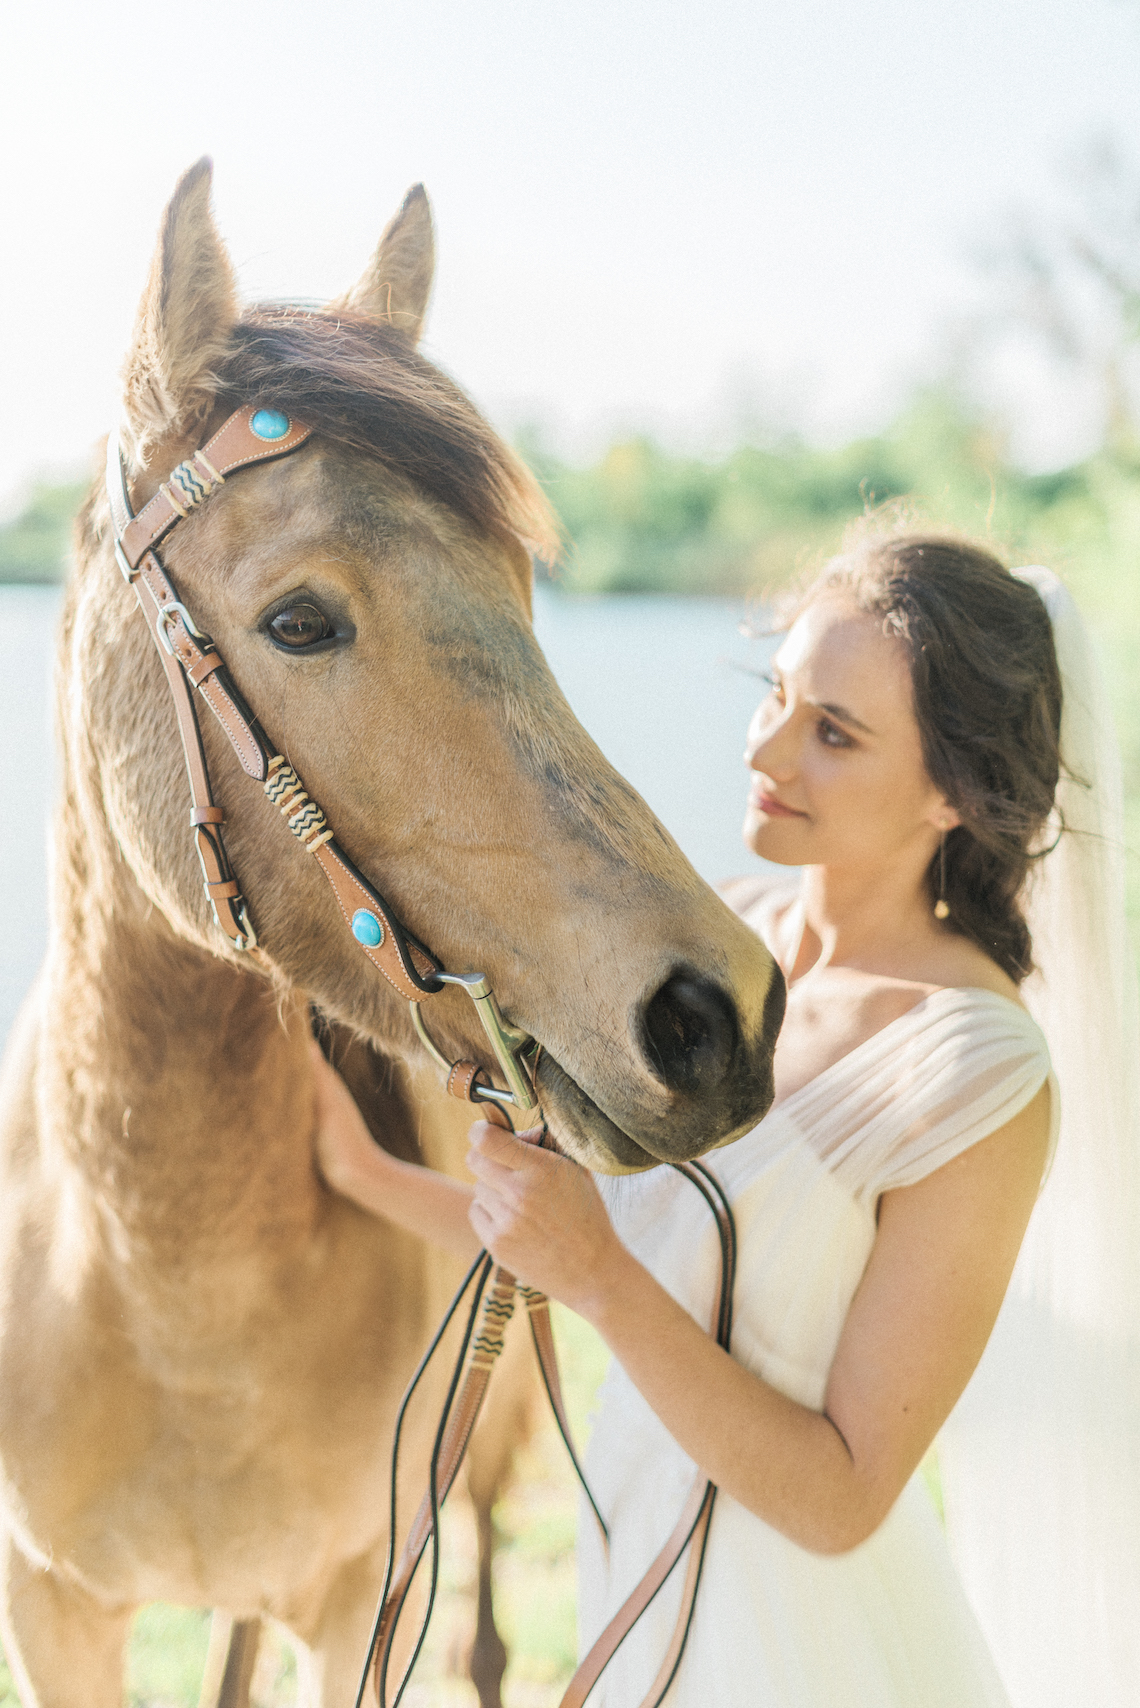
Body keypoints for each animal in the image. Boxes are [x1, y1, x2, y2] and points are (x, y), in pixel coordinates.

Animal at [0, 159, 784, 1708]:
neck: (158, 1278)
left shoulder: (354, 1591)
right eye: (300, 620)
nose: (714, 1013)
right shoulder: (55, 1617)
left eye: (526, 597)